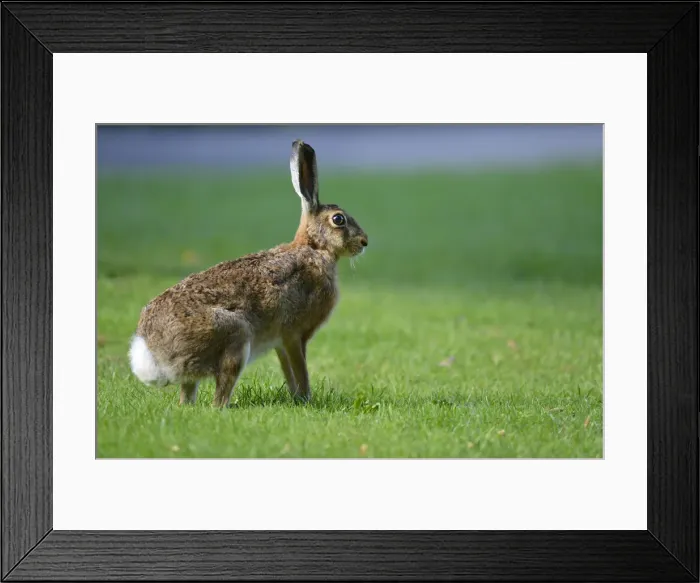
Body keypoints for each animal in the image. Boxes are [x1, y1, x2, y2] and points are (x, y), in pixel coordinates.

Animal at [128, 140, 368, 407]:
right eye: (339, 219)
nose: (364, 241)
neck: (314, 248)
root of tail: (151, 353)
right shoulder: (294, 334)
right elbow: (301, 370)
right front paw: (307, 399)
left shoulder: (280, 343)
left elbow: (288, 372)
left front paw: (297, 399)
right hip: (236, 338)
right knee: (219, 397)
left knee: (188, 395)